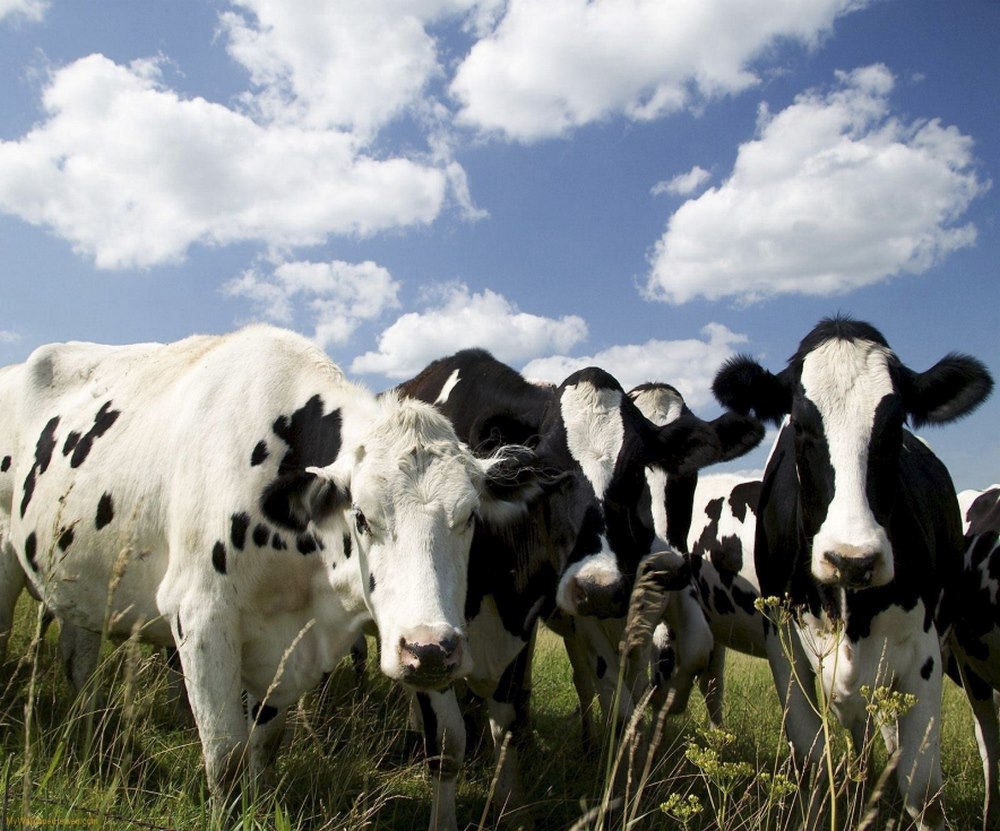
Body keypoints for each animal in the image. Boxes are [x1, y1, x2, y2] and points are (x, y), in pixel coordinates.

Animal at [0, 326, 548, 800]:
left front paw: (261, 802)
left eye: (470, 516)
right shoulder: (200, 617)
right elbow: (226, 759)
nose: (429, 651)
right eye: (361, 516)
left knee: (78, 659)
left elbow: (265, 743)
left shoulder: (287, 646)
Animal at [711, 315, 992, 831]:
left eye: (895, 425)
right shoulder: (785, 648)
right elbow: (811, 764)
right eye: (800, 426)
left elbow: (924, 789)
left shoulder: (923, 654)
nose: (852, 559)